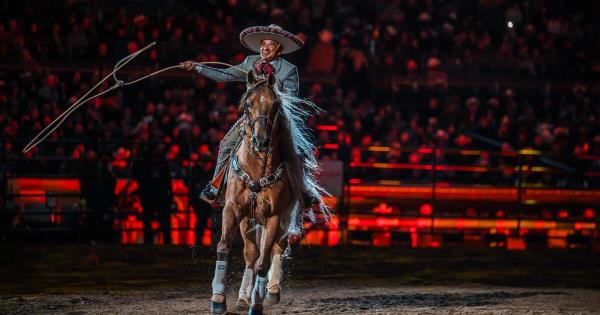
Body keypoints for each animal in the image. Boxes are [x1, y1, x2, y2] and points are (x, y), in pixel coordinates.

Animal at [209, 71, 308, 315]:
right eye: (247, 105)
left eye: (275, 105)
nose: (260, 141)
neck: (256, 169)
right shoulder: (233, 209)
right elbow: (225, 247)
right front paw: (218, 299)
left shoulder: (274, 217)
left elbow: (264, 261)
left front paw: (257, 303)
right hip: (248, 221)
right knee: (252, 254)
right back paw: (243, 297)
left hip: (284, 220)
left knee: (276, 249)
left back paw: (270, 291)